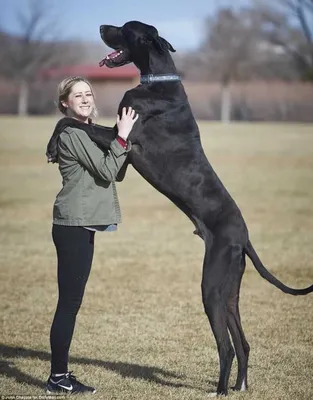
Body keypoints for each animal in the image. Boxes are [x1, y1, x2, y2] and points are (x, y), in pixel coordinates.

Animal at [98, 20, 312, 396]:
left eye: (124, 29)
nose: (100, 26)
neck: (159, 80)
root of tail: (244, 237)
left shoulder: (124, 145)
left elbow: (75, 125)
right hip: (229, 291)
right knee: (242, 342)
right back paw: (239, 386)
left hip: (210, 287)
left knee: (225, 346)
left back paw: (221, 389)